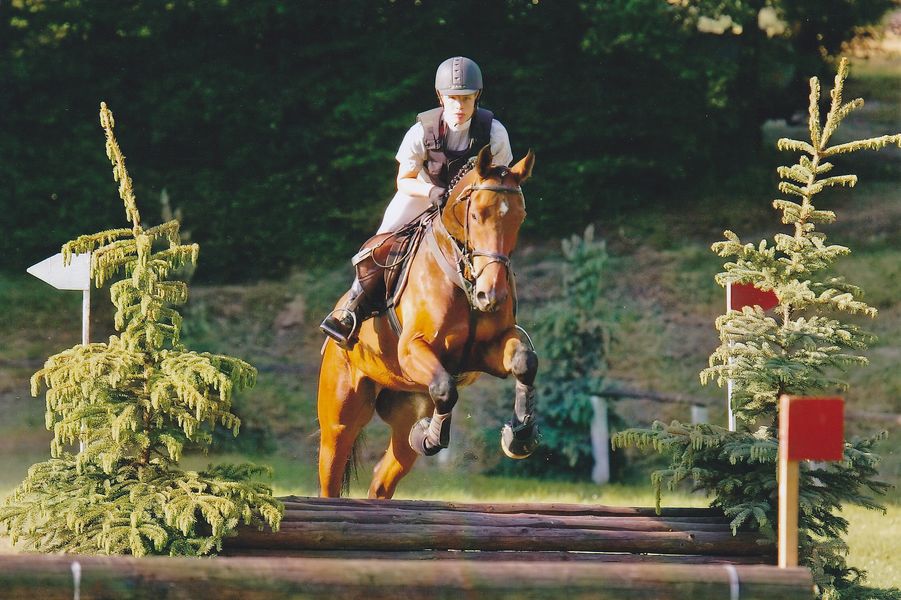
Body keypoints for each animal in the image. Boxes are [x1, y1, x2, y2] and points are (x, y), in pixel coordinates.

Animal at [318, 144, 536, 496]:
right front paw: (430, 437)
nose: (492, 296)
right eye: (476, 215)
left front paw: (520, 437)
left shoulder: (488, 348)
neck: (464, 277)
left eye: (520, 217)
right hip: (340, 417)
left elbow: (524, 362)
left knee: (383, 480)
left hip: (403, 414)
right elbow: (445, 388)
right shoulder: (412, 349)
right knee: (331, 474)